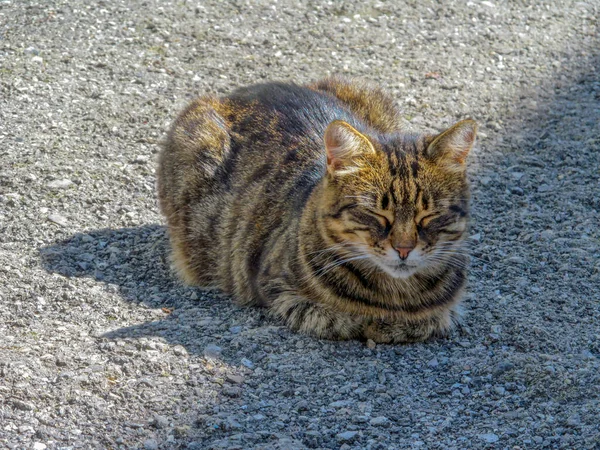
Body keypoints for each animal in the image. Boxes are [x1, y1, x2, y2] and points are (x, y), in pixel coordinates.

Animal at [157, 78, 476, 344]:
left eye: (429, 216)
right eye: (376, 214)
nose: (404, 249)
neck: (395, 296)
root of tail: (238, 92)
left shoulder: (447, 311)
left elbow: (431, 319)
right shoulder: (279, 289)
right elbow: (339, 319)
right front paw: (372, 324)